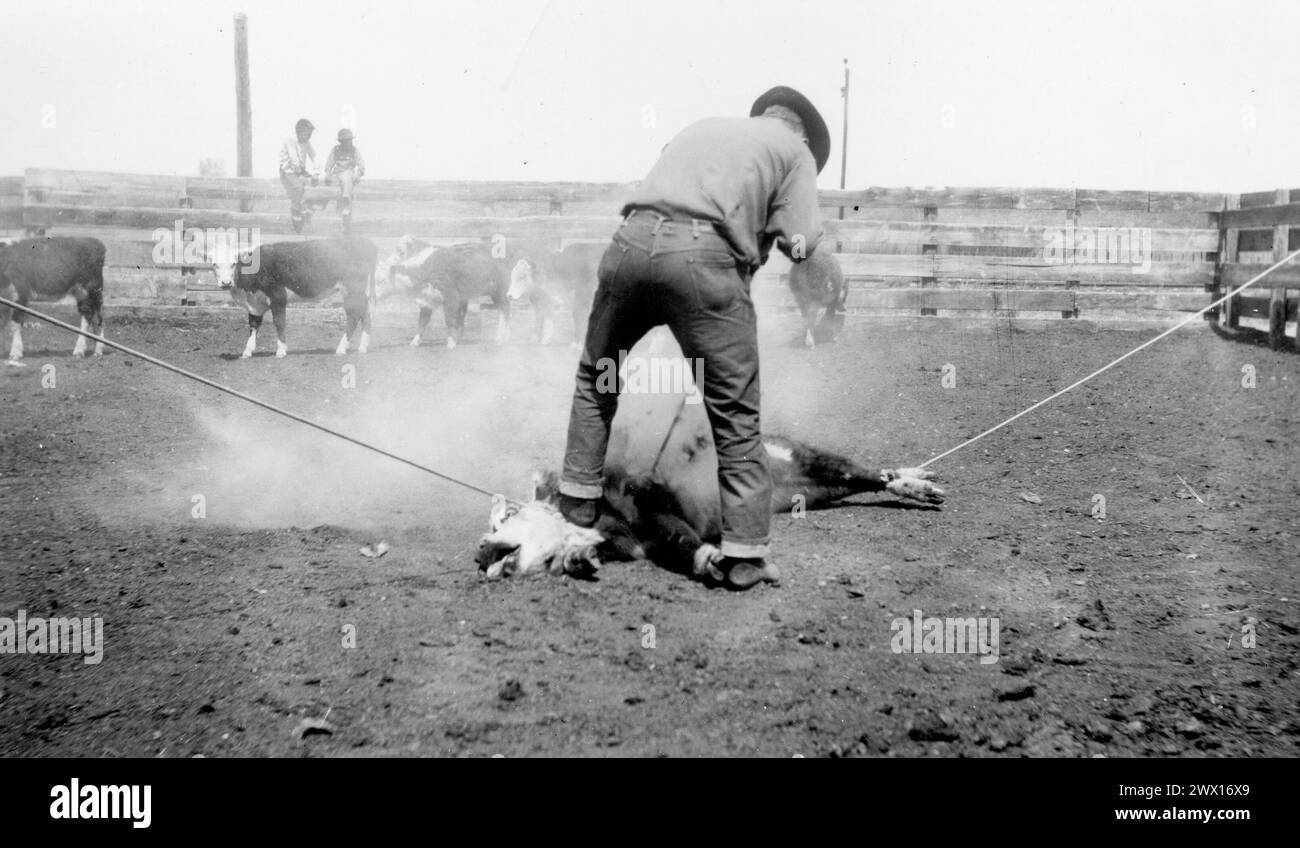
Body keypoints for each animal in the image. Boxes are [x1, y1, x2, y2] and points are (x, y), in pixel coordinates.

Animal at [0, 235, 105, 364]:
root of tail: (94, 241)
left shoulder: (20, 295)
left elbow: (15, 324)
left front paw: (15, 353)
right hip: (88, 293)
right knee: (97, 318)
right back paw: (98, 351)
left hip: (87, 289)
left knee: (88, 316)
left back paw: (79, 350)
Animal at [210, 235, 377, 358]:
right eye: (214, 264)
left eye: (233, 264)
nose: (226, 282)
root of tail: (364, 242)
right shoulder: (255, 303)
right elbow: (253, 325)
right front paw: (247, 351)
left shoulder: (278, 296)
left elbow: (279, 322)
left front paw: (281, 350)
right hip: (360, 292)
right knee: (366, 313)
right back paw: (362, 347)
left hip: (352, 289)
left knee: (354, 315)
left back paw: (341, 348)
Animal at [379, 235, 509, 348]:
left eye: (400, 251)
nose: (387, 262)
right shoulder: (428, 299)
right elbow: (422, 322)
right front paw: (415, 342)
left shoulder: (452, 298)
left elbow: (450, 320)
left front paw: (451, 343)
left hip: (500, 291)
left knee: (505, 310)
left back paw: (502, 337)